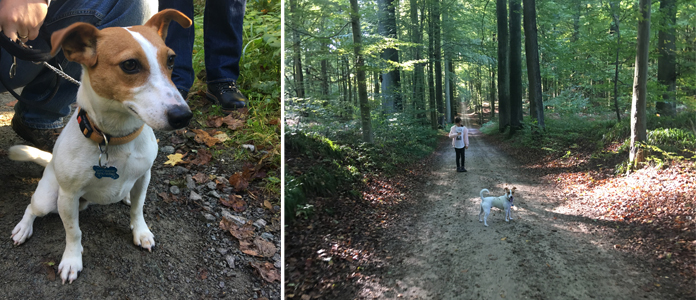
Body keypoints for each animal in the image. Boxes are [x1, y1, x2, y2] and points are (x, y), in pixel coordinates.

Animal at [8, 9, 193, 284]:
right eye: (130, 64)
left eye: (170, 60)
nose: (183, 116)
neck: (115, 138)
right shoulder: (68, 197)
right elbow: (73, 232)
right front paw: (72, 260)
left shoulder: (144, 177)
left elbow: (138, 209)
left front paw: (141, 232)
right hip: (47, 199)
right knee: (32, 207)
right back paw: (23, 228)